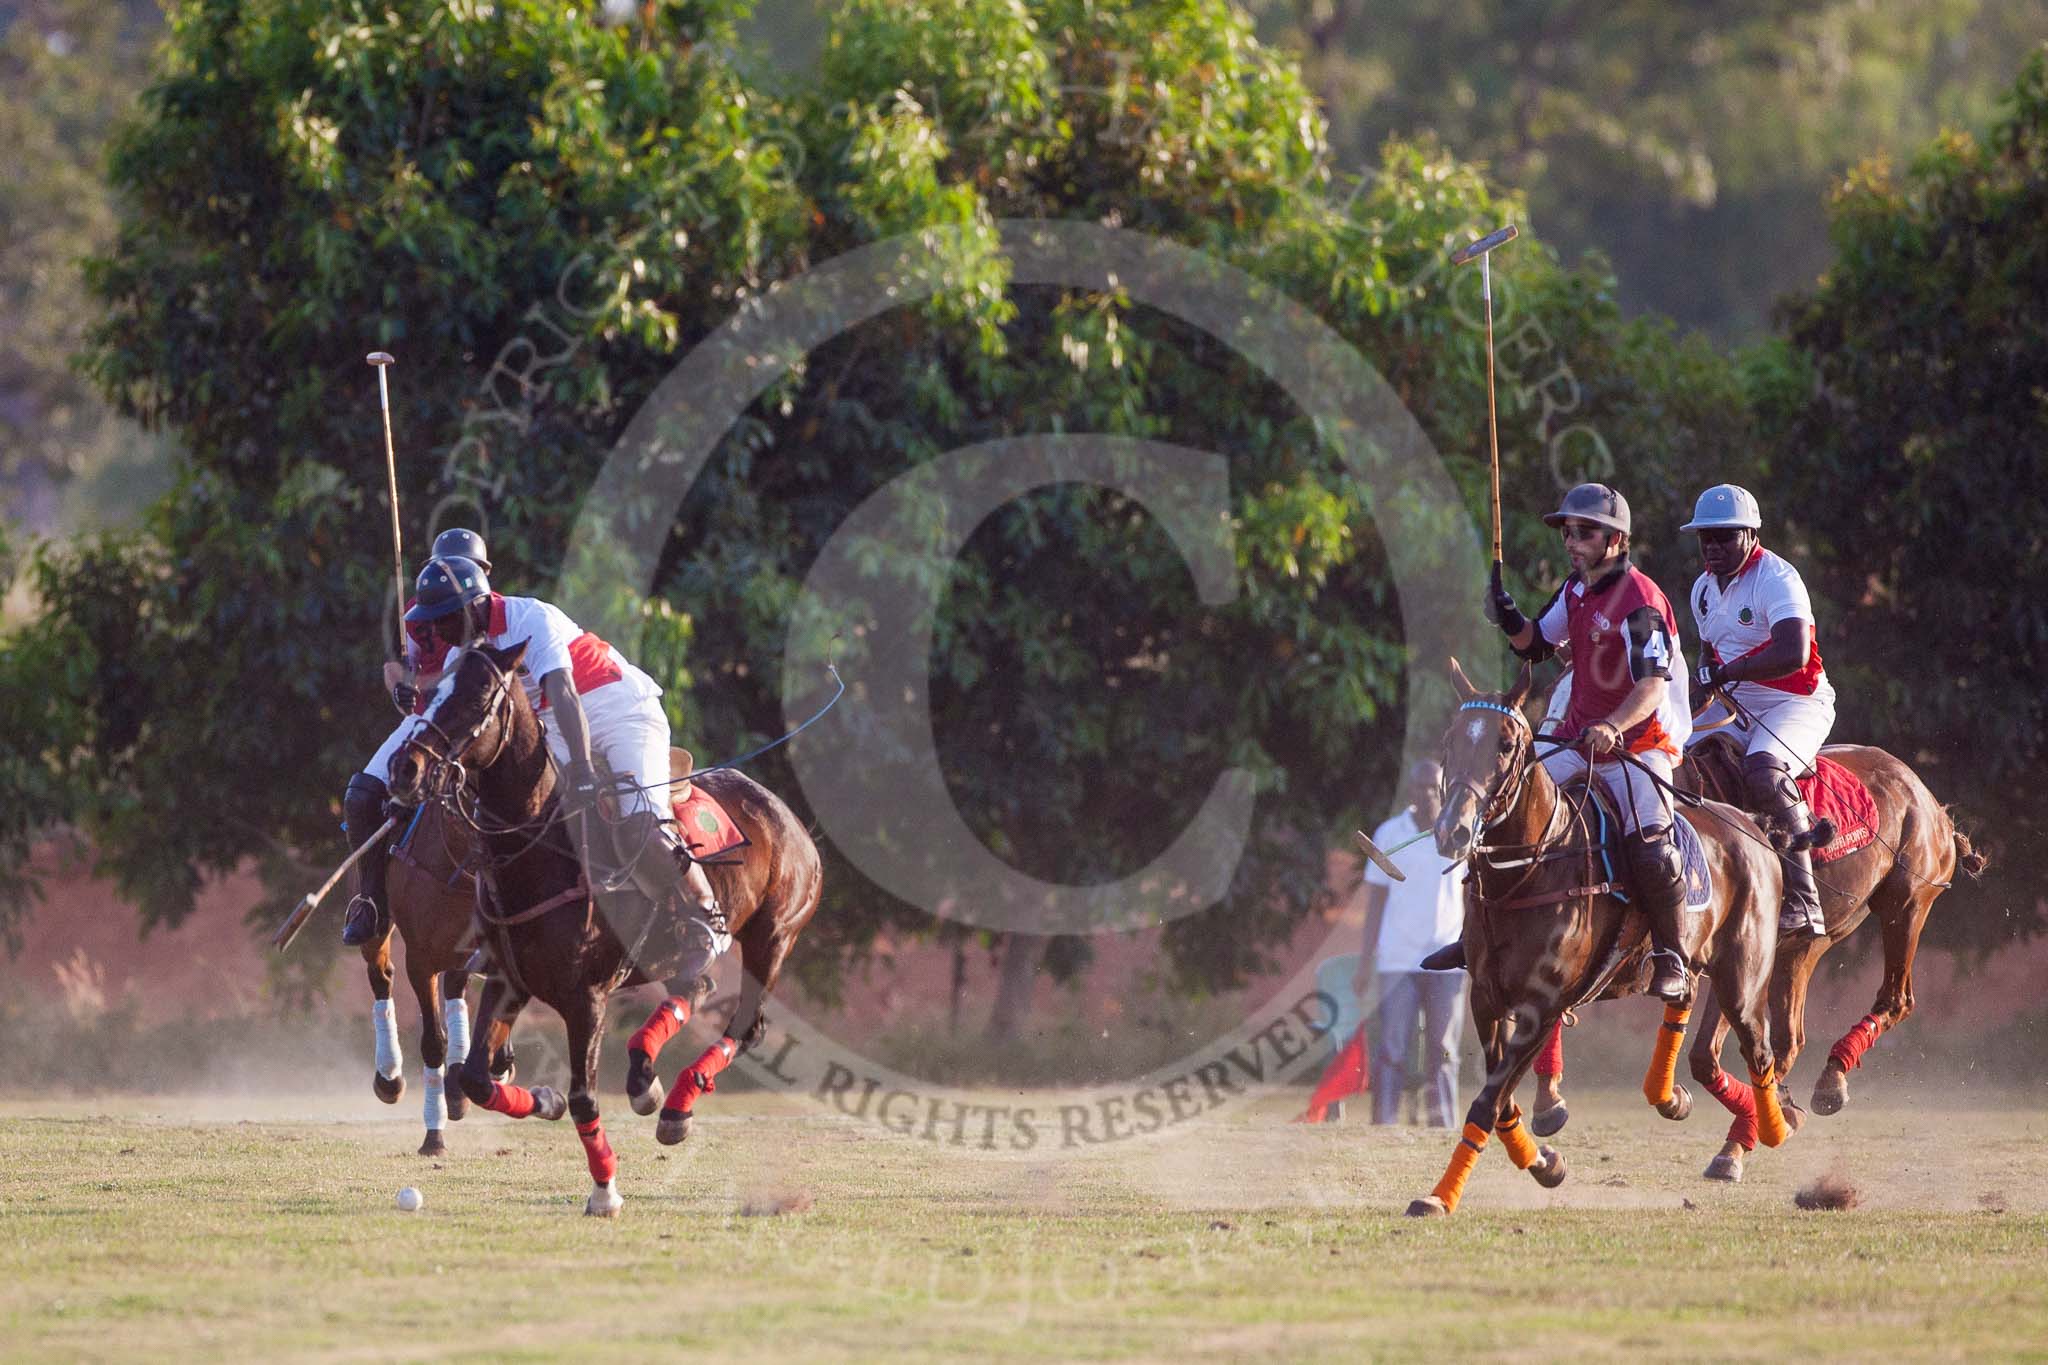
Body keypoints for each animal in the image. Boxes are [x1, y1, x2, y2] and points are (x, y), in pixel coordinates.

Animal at [352, 802, 516, 1154]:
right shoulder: (420, 961)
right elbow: (432, 1043)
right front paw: (434, 1137)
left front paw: (494, 1066)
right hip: (376, 924)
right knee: (381, 976)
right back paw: (390, 1077)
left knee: (455, 987)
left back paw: (457, 1081)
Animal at [387, 642, 819, 1219]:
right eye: (426, 690)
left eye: (477, 696)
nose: (404, 768)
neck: (540, 848)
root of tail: (792, 820)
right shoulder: (508, 979)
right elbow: (476, 1077)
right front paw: (542, 1100)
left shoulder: (586, 996)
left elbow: (584, 1097)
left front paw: (604, 1190)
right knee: (695, 987)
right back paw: (649, 1083)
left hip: (773, 936)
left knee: (745, 1022)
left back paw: (673, 1103)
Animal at [1409, 663, 1794, 1219]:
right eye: (1450, 740)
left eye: (1506, 745)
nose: (1452, 832)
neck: (1528, 870)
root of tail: (1754, 826)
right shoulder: (1485, 999)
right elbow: (1500, 1101)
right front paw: (1546, 1163)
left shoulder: (1542, 1003)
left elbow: (1488, 1100)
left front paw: (1440, 1197)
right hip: (1693, 959)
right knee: (1684, 993)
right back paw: (1672, 1097)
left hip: (1742, 976)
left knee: (1758, 1048)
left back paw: (1772, 1128)